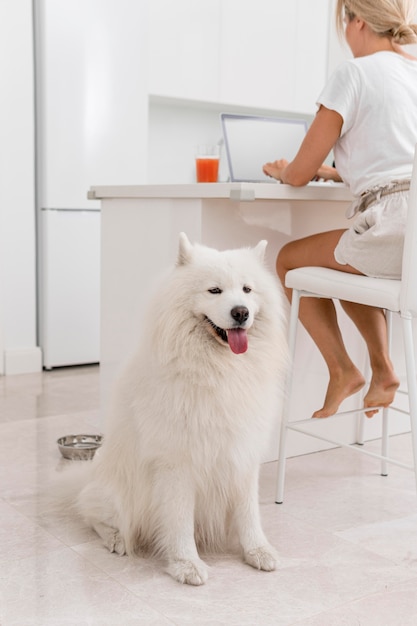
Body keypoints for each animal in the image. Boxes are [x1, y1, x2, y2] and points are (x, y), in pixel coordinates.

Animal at [52, 233, 288, 584]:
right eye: (214, 291)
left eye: (247, 290)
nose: (241, 312)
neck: (218, 371)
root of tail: (90, 474)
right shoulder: (176, 463)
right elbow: (178, 521)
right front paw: (186, 564)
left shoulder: (242, 453)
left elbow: (249, 513)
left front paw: (258, 551)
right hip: (117, 494)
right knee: (93, 513)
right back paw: (117, 539)